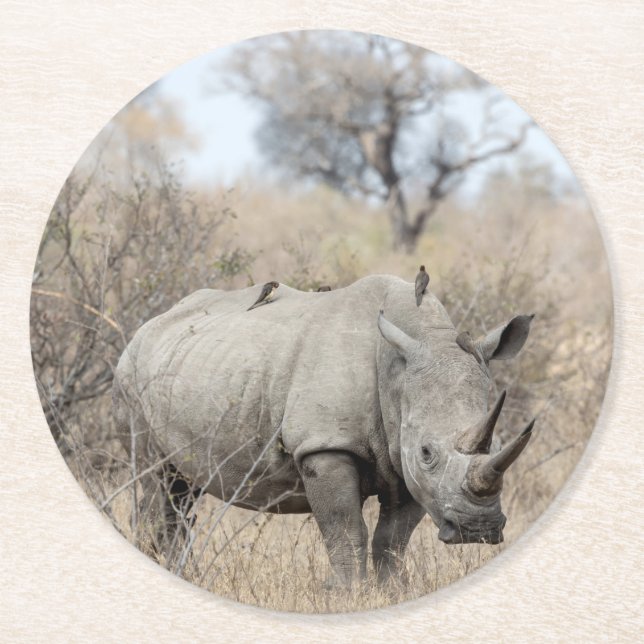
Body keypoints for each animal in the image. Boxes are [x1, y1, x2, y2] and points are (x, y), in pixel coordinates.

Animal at [112, 275, 535, 586]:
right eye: (427, 452)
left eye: (498, 442)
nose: (476, 529)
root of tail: (150, 324)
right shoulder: (325, 446)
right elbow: (346, 531)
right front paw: (351, 595)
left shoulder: (404, 460)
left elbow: (392, 540)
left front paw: (392, 592)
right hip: (131, 377)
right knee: (158, 480)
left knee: (183, 491)